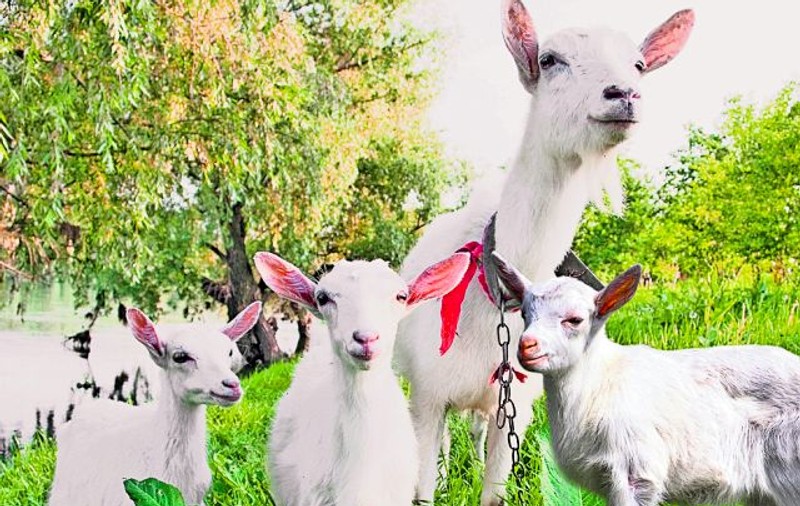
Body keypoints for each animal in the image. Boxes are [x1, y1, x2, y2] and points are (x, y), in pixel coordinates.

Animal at [394, 2, 695, 503]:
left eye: (638, 64)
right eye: (550, 59)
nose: (623, 94)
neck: (494, 291)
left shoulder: (515, 398)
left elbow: (494, 489)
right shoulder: (428, 390)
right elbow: (421, 488)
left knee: (473, 428)